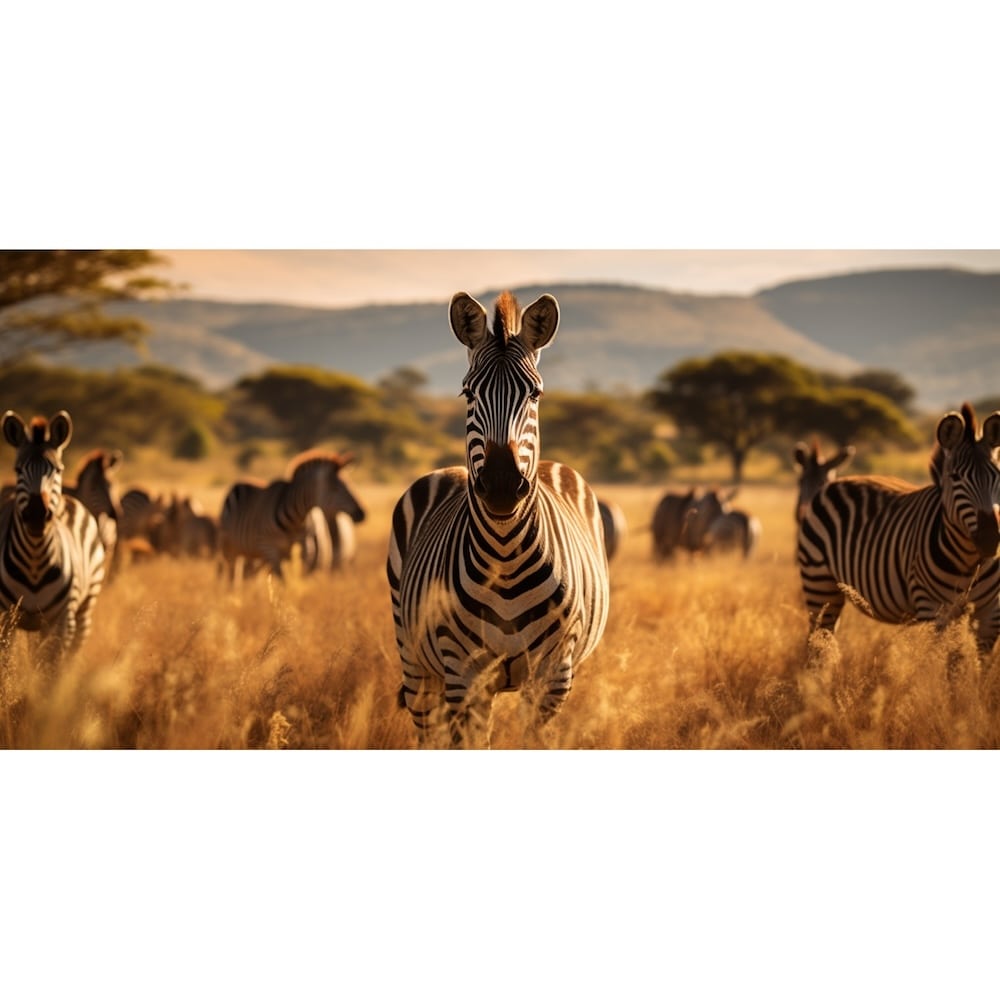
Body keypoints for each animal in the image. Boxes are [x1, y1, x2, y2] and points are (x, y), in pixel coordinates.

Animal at [0, 410, 106, 662]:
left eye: (57, 470)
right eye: (18, 470)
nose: (37, 514)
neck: (34, 561)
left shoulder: (61, 621)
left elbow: (50, 668)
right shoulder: (5, 617)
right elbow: (6, 663)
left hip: (84, 607)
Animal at [219, 450, 366, 581]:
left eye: (349, 484)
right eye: (334, 488)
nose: (362, 513)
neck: (295, 521)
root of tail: (240, 482)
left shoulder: (305, 549)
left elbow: (297, 577)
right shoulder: (270, 549)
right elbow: (283, 581)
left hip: (254, 553)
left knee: (253, 575)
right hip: (231, 549)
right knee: (233, 575)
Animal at [387, 290, 610, 747]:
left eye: (536, 394)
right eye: (467, 393)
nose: (504, 485)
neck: (505, 558)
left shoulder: (552, 677)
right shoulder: (463, 674)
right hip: (415, 661)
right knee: (427, 732)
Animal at [797, 403, 1000, 657]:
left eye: (998, 476)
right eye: (955, 478)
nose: (990, 539)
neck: (970, 561)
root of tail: (833, 483)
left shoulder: (991, 614)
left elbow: (969, 665)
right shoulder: (932, 609)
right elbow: (937, 663)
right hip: (819, 583)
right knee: (818, 643)